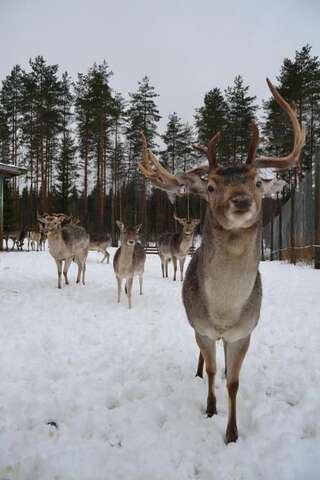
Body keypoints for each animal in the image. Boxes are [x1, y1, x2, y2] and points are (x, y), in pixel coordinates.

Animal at [140, 79, 304, 442]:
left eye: (257, 181)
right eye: (212, 186)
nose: (241, 201)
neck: (225, 313)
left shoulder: (244, 333)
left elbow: (233, 382)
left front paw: (232, 432)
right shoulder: (201, 328)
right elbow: (213, 371)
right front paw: (210, 409)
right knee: (205, 360)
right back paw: (198, 372)